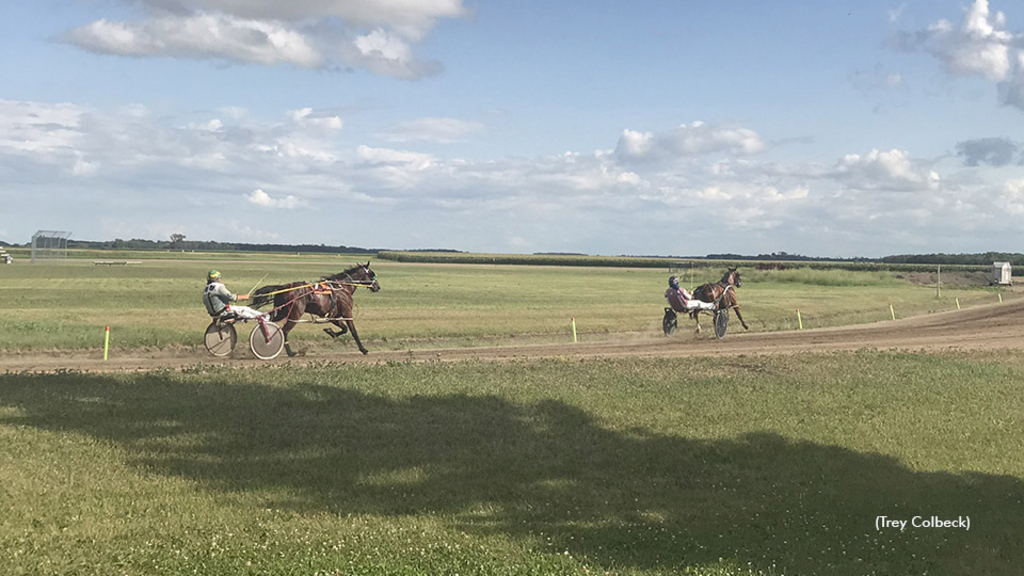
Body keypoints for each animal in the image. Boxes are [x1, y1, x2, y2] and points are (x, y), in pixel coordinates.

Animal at [251, 261, 380, 354]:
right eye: (371, 274)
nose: (378, 287)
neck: (342, 287)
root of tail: (283, 287)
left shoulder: (333, 316)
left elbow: (344, 329)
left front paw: (330, 332)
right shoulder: (347, 313)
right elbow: (353, 331)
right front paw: (363, 349)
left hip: (282, 311)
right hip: (295, 314)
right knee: (285, 330)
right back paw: (291, 352)